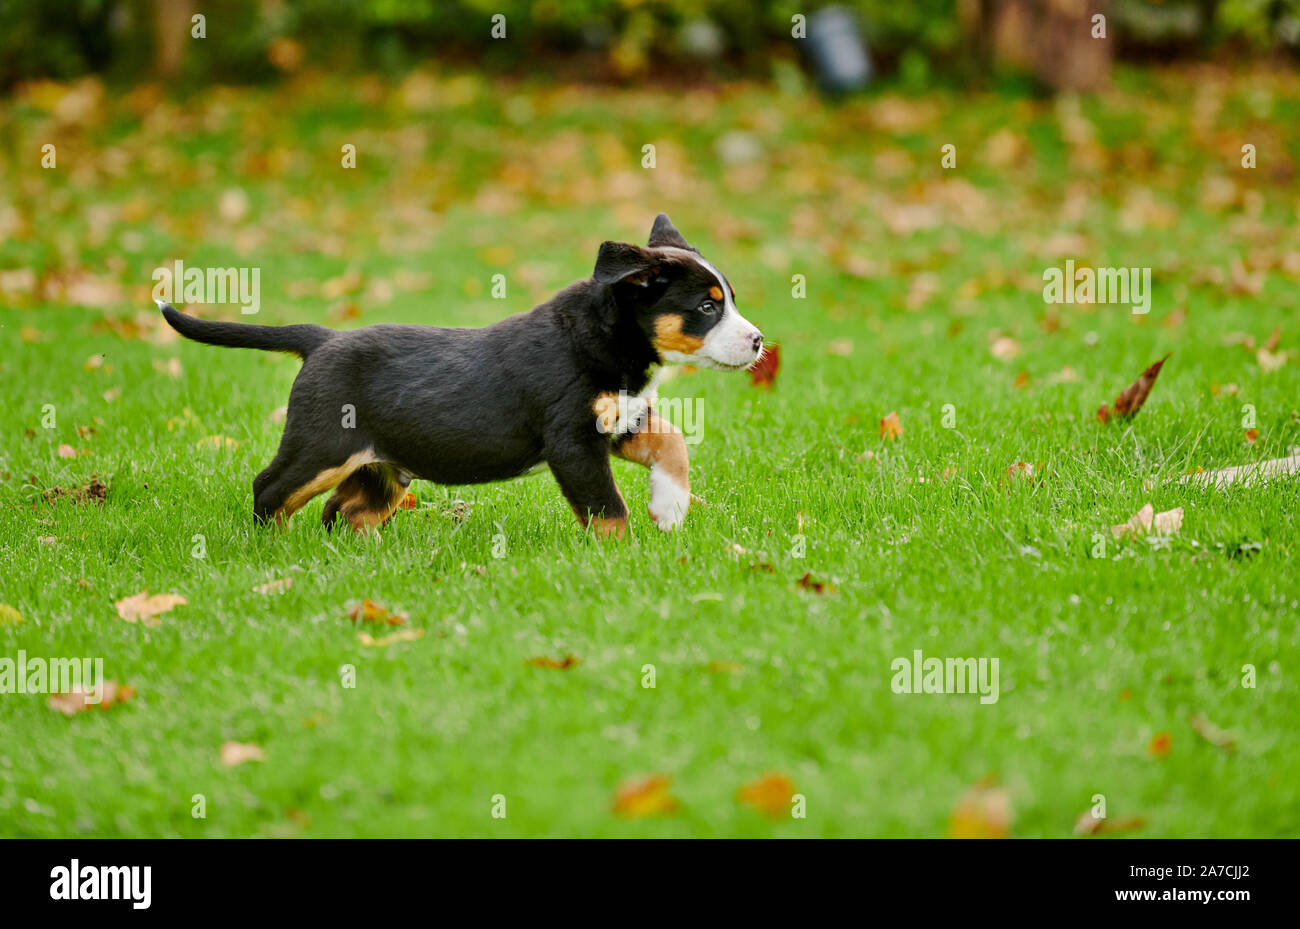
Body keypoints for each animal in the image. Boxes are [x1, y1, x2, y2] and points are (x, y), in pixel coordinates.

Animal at [167, 215, 764, 537]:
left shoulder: (621, 419)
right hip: (322, 444)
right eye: (707, 308)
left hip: (382, 465)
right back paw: (273, 547)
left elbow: (673, 441)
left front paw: (670, 506)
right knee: (270, 489)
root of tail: (323, 338)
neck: (604, 337)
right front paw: (625, 551)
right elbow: (608, 510)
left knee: (347, 510)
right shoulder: (573, 440)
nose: (760, 341)